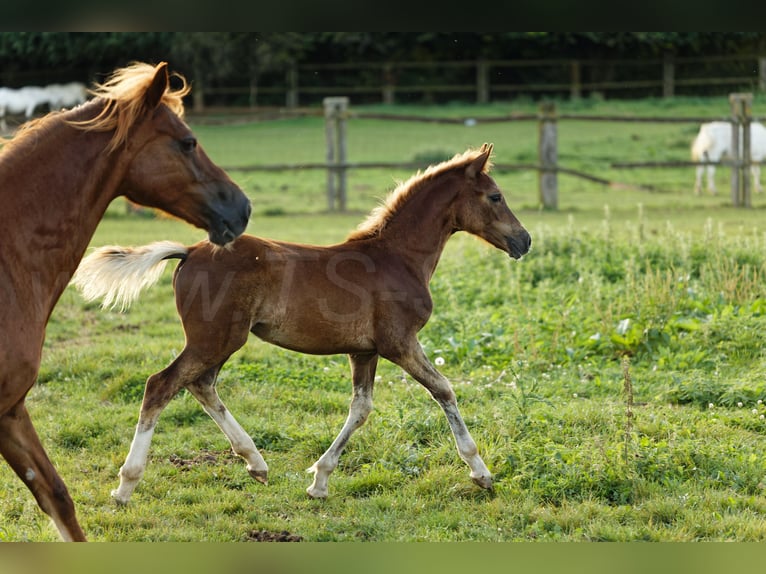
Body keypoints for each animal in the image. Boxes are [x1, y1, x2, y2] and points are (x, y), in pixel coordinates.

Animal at [72, 143, 531, 506]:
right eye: (495, 196)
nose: (523, 240)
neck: (397, 257)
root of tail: (189, 251)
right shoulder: (400, 343)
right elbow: (444, 390)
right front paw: (481, 473)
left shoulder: (364, 350)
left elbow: (361, 409)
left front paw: (320, 482)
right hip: (214, 338)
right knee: (161, 385)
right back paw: (126, 486)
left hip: (219, 340)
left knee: (200, 386)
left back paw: (256, 463)